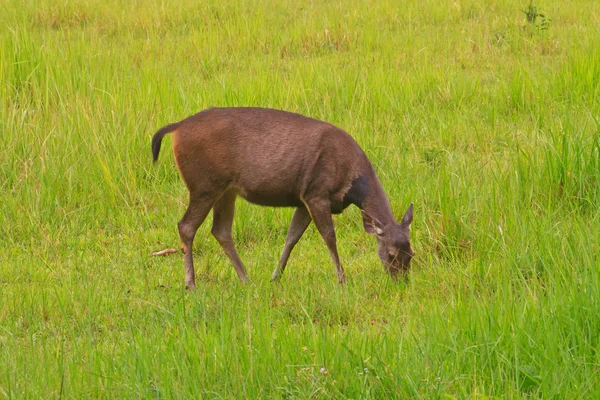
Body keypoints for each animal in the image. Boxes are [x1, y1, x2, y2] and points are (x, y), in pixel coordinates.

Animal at [151, 108, 412, 290]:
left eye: (412, 253)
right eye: (390, 254)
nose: (402, 281)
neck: (351, 182)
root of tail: (176, 128)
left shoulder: (303, 198)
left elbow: (291, 237)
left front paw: (276, 277)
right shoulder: (317, 193)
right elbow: (329, 237)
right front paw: (342, 280)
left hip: (226, 189)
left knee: (221, 230)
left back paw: (246, 279)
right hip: (204, 184)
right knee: (186, 225)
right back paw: (191, 284)